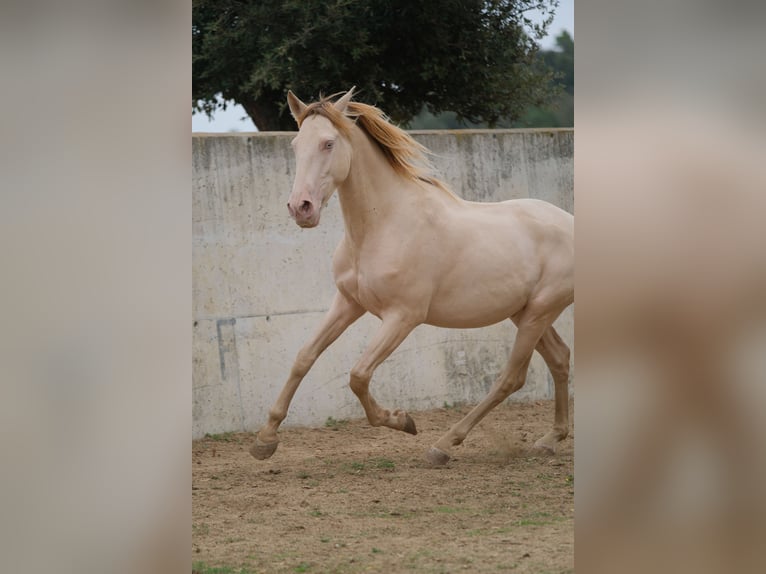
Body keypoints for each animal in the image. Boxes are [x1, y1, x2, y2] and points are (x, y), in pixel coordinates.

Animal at [252, 89, 576, 468]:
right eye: (295, 144)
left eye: (328, 143)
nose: (301, 208)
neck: (384, 224)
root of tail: (571, 222)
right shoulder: (347, 303)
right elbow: (304, 358)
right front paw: (265, 440)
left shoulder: (403, 316)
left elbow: (359, 375)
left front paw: (402, 420)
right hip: (524, 312)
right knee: (558, 358)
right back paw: (549, 440)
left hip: (540, 311)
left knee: (511, 377)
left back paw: (443, 445)